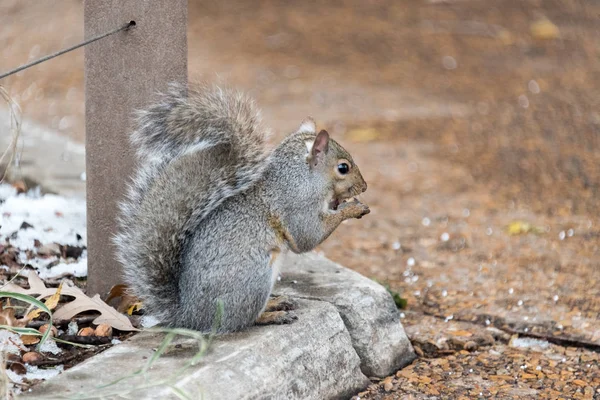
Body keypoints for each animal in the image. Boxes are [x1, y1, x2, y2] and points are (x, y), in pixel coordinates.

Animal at [111, 83, 366, 332]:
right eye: (343, 168)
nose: (364, 186)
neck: (300, 177)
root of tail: (190, 317)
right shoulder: (296, 205)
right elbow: (307, 237)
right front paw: (352, 208)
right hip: (254, 277)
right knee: (242, 320)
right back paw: (272, 315)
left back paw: (275, 303)